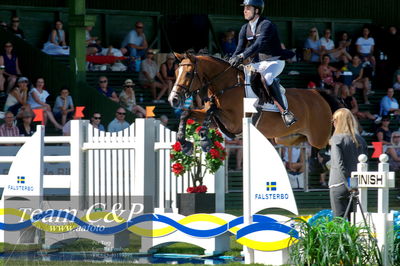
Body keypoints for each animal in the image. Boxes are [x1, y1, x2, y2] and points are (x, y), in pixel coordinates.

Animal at [170, 52, 334, 149]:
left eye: (188, 73)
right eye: (176, 72)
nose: (173, 100)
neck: (225, 85)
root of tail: (318, 94)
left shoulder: (235, 123)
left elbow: (212, 110)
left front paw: (204, 140)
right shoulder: (217, 120)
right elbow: (187, 113)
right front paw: (185, 144)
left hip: (319, 138)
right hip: (284, 138)